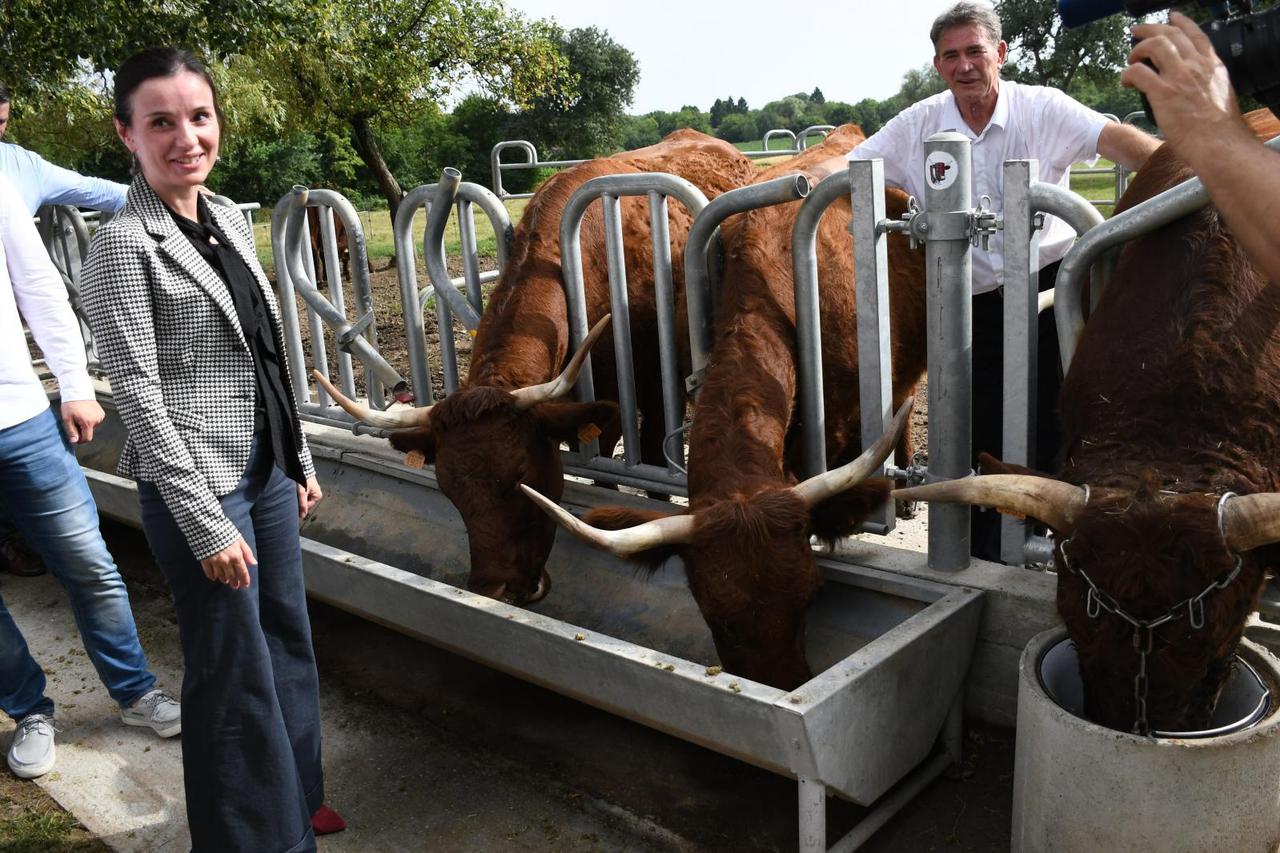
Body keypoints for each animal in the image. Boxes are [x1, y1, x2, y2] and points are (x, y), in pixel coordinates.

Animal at [312, 128, 747, 604]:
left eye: (521, 476)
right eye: (447, 486)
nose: (494, 590)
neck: (576, 265)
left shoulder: (648, 385)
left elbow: (645, 458)